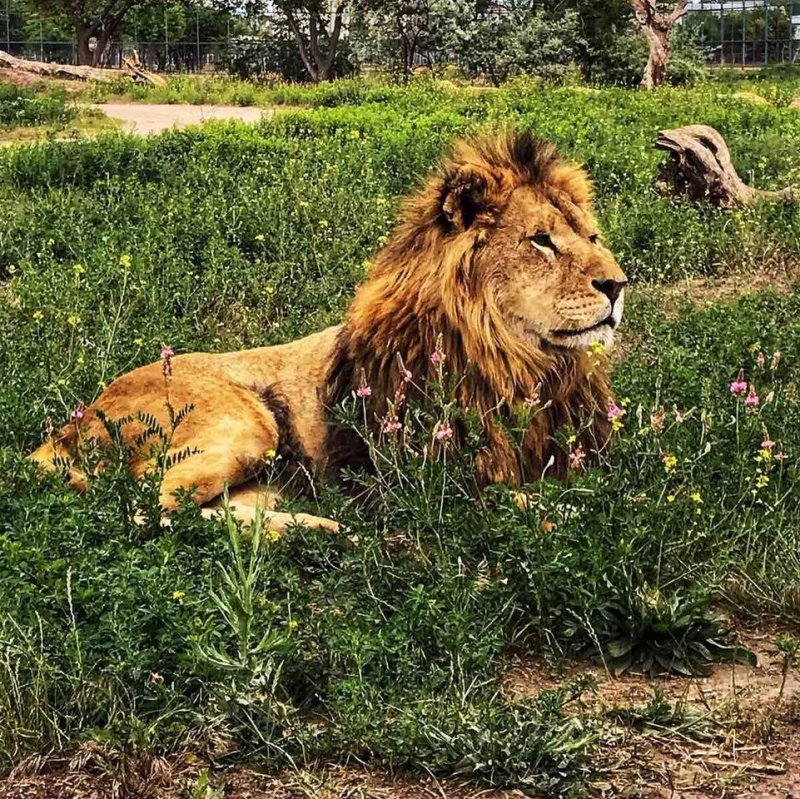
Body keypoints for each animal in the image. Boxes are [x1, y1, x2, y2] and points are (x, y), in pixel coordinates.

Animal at [31, 131, 624, 532]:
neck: (521, 365)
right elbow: (541, 504)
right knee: (145, 509)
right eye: (541, 240)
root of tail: (70, 424)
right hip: (243, 425)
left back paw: (323, 531)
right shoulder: (430, 482)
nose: (618, 285)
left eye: (593, 236)